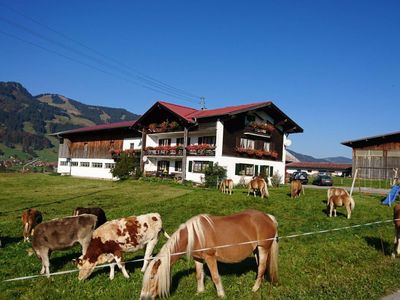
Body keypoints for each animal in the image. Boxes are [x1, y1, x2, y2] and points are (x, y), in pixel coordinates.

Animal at [141, 210, 278, 298]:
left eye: (152, 277)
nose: (143, 297)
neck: (195, 235)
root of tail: (268, 217)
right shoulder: (198, 258)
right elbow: (199, 275)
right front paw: (200, 292)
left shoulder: (210, 257)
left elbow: (215, 277)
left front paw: (221, 295)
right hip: (256, 250)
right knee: (260, 268)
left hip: (263, 248)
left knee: (262, 267)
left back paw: (254, 289)